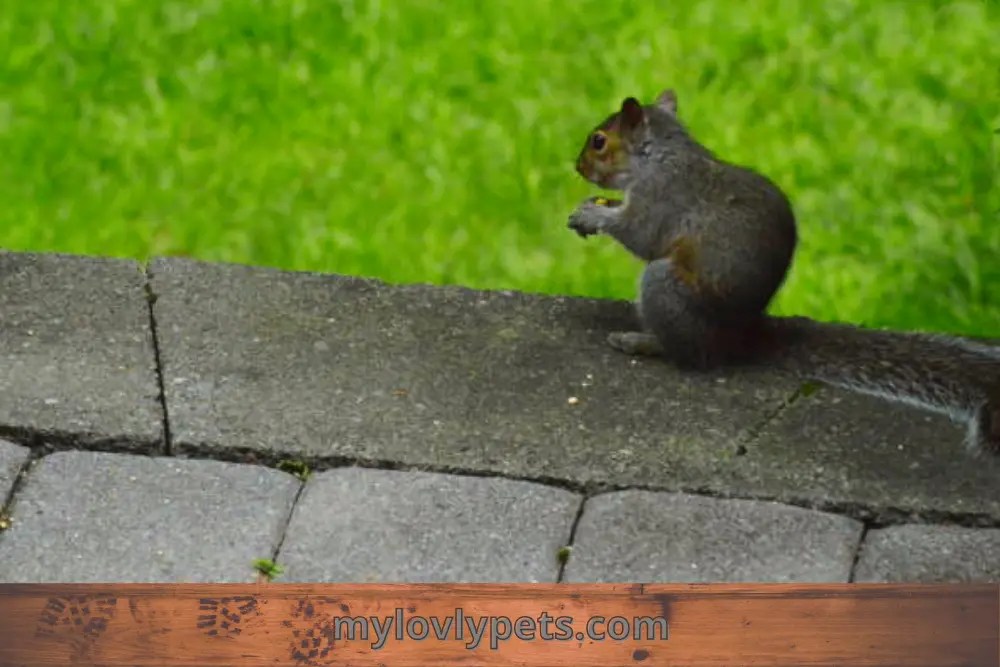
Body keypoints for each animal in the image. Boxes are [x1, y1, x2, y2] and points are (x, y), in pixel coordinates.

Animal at [567, 88, 1000, 458]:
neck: (660, 155)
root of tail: (744, 337)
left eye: (599, 141)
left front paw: (594, 215)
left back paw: (641, 341)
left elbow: (640, 235)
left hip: (666, 287)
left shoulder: (661, 198)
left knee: (694, 355)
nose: (577, 166)